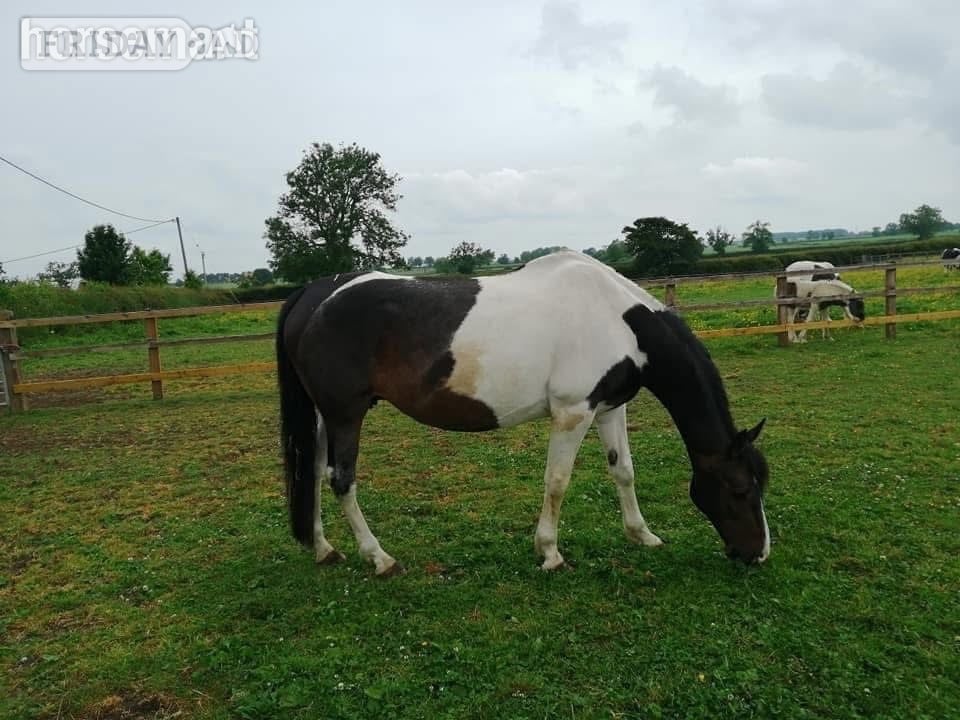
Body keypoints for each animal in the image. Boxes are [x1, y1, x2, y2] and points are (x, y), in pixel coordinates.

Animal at [276, 250, 770, 576]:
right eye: (741, 489)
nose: (759, 553)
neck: (617, 320)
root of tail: (315, 293)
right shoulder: (573, 413)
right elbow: (557, 481)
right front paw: (550, 552)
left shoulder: (610, 409)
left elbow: (623, 472)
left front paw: (642, 535)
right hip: (345, 413)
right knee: (341, 480)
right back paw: (379, 558)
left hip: (324, 415)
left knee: (313, 472)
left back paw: (324, 549)